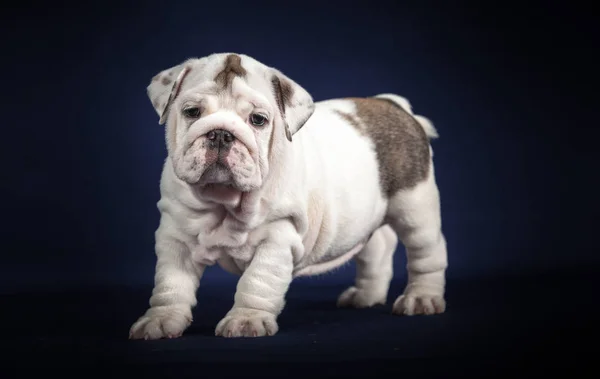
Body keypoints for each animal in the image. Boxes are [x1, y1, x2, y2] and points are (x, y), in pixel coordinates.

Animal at [129, 52, 448, 340]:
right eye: (192, 112)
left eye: (258, 120)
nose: (220, 133)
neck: (225, 199)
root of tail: (395, 105)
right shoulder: (176, 238)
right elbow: (171, 284)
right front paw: (160, 320)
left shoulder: (277, 238)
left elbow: (257, 281)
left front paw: (246, 320)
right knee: (377, 247)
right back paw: (366, 295)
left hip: (415, 207)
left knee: (426, 253)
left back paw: (421, 298)